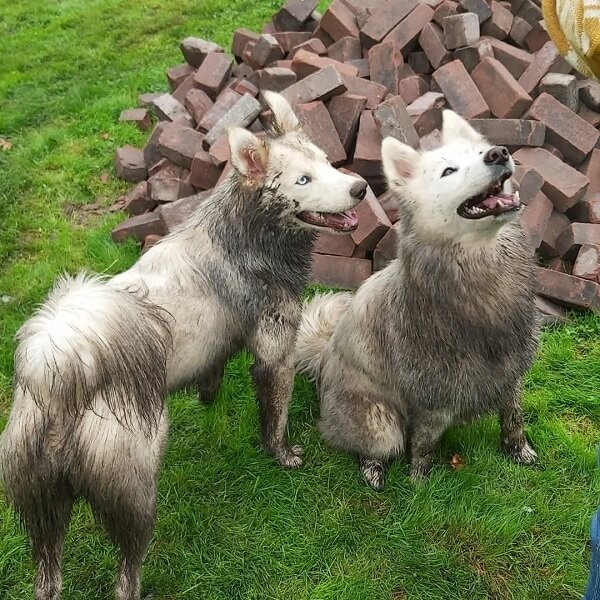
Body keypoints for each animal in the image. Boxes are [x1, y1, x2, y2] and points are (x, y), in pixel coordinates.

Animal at [1, 90, 366, 600]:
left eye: (328, 162)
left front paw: (208, 402)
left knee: (48, 577)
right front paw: (283, 456)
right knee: (126, 573)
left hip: (44, 512)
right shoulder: (276, 353)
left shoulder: (220, 345)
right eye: (303, 179)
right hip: (136, 489)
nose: (360, 188)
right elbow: (275, 420)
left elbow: (212, 376)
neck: (243, 235)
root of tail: (55, 371)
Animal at [296, 112, 540, 492]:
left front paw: (518, 451)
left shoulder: (512, 374)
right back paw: (373, 469)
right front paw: (420, 484)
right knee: (370, 446)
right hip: (381, 423)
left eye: (481, 151)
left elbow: (513, 417)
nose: (498, 154)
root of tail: (321, 359)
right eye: (448, 171)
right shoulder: (432, 399)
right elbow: (423, 444)